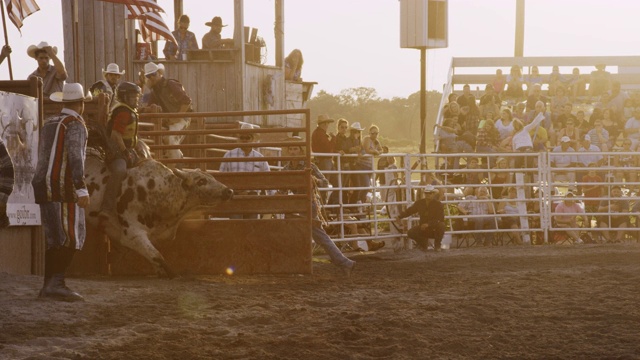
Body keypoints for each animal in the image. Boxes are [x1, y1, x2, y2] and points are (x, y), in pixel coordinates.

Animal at [84, 153, 232, 278]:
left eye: (212, 177)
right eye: (201, 181)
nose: (229, 191)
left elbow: (154, 257)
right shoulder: (133, 234)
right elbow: (157, 255)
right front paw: (173, 274)